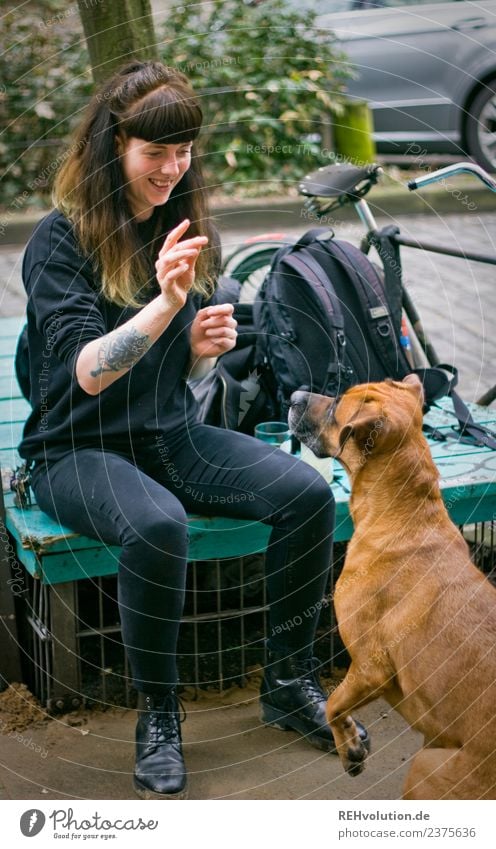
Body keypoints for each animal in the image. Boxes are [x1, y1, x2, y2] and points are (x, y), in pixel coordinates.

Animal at [288, 374, 496, 800]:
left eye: (337, 405)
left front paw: (350, 749)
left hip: (425, 768)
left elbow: (333, 704)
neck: (405, 512)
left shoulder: (370, 668)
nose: (293, 395)